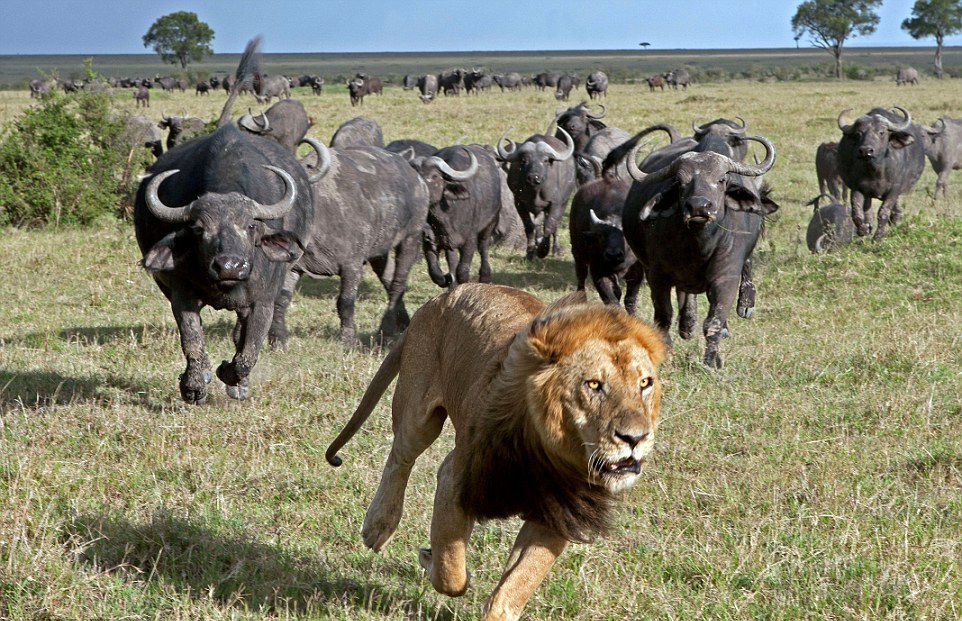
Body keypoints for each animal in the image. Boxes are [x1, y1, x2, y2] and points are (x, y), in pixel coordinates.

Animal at [325, 283, 666, 621]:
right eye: (594, 385)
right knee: (400, 459)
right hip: (417, 412)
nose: (636, 438)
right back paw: (378, 526)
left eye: (645, 383)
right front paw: (430, 557)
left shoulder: (559, 514)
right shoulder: (455, 477)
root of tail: (440, 297)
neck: (546, 453)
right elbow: (452, 571)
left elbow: (517, 585)